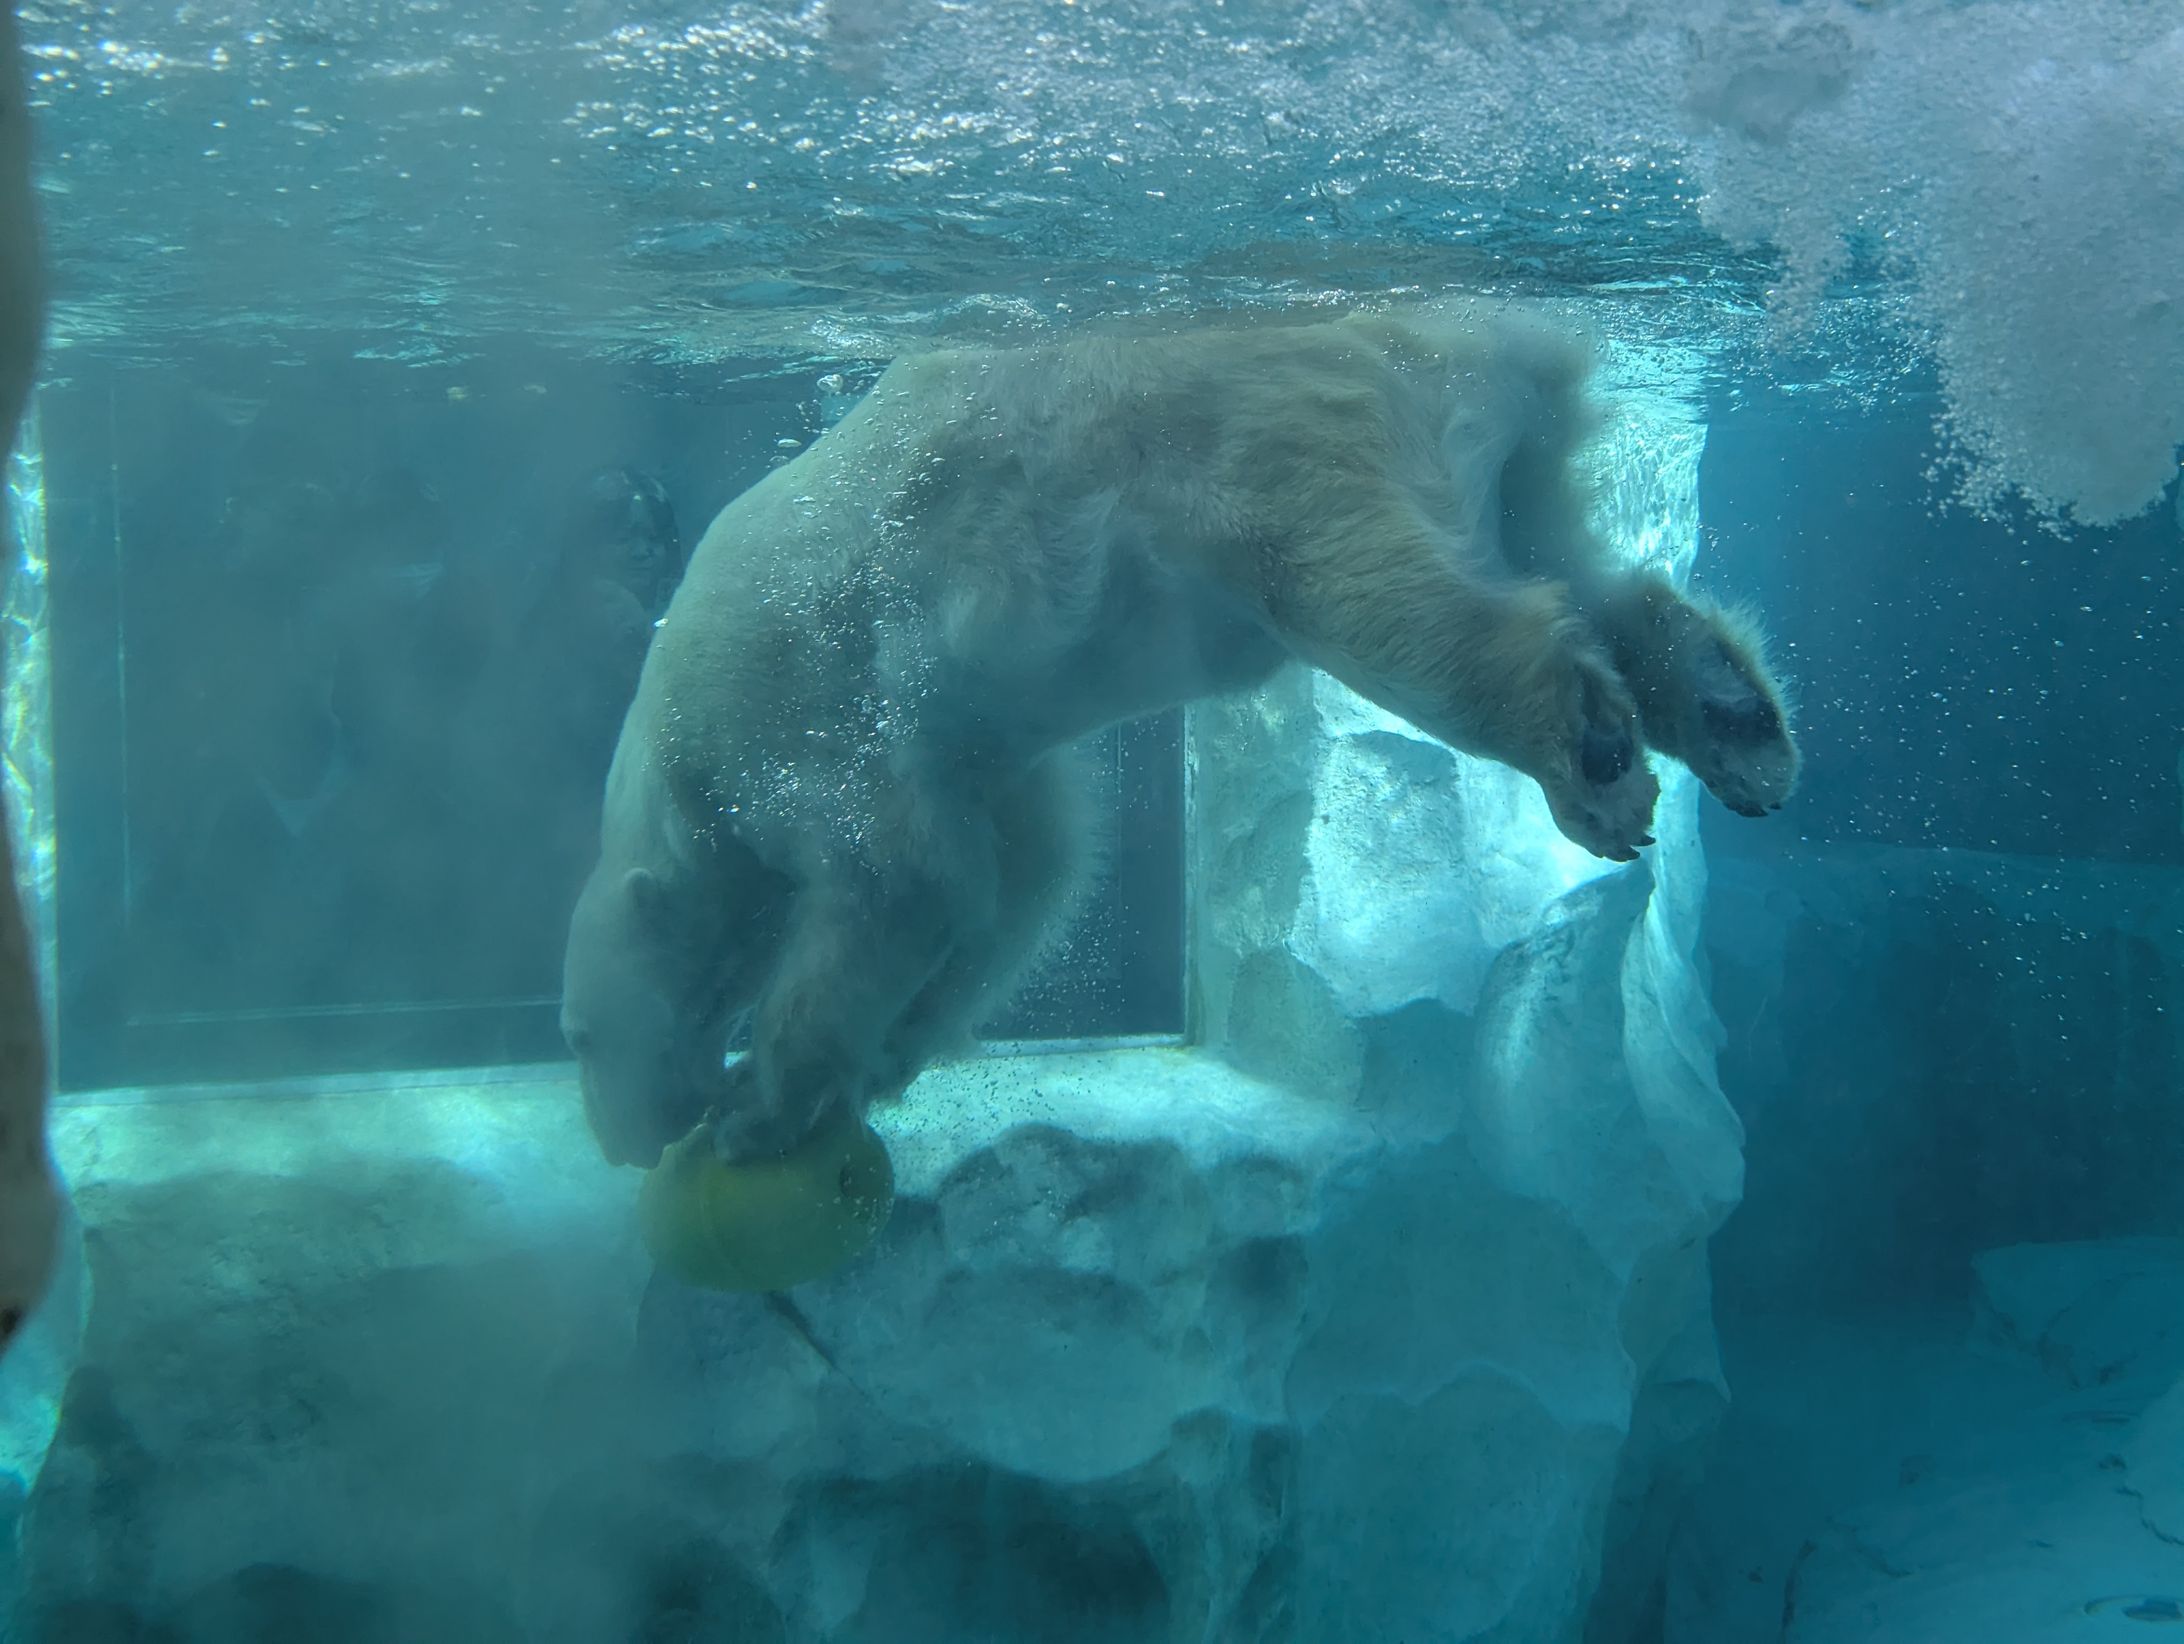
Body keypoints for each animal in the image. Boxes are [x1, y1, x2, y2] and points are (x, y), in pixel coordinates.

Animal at [561, 303, 1801, 1170]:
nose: (627, 1141)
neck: (672, 757)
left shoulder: (800, 714)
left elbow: (896, 880)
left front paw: (758, 1106)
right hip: (1483, 450)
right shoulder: (978, 759)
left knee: (1396, 608)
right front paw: (889, 1056)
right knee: (1573, 561)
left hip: (1266, 439)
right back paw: (1735, 720)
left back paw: (1592, 760)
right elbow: (1013, 882)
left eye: (573, 1034)